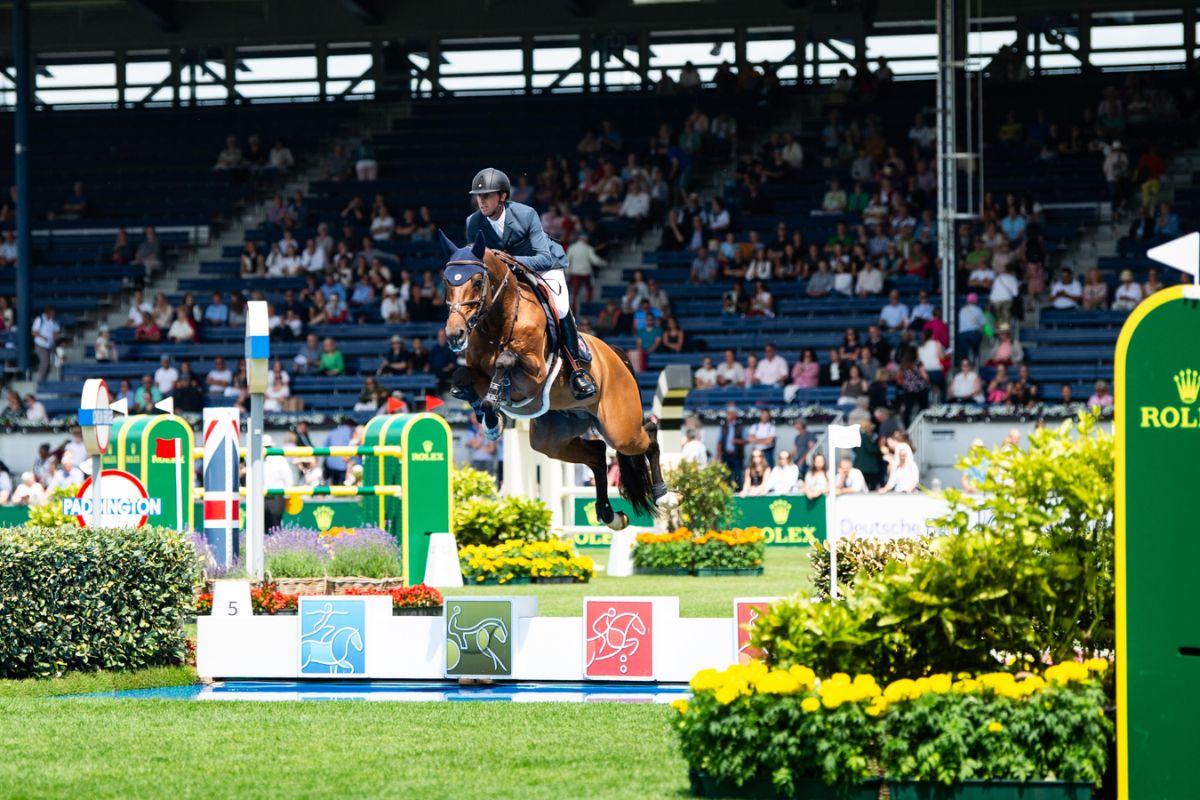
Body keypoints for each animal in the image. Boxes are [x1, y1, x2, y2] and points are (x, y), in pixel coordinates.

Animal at [441, 230, 672, 532]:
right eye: (446, 282)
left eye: (478, 281)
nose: (454, 335)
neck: (498, 321)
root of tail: (617, 355)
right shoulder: (477, 370)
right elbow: (463, 379)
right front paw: (490, 420)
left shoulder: (535, 374)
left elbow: (505, 360)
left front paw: (492, 404)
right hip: (552, 438)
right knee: (597, 452)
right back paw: (609, 515)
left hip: (621, 429)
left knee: (648, 434)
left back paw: (663, 495)